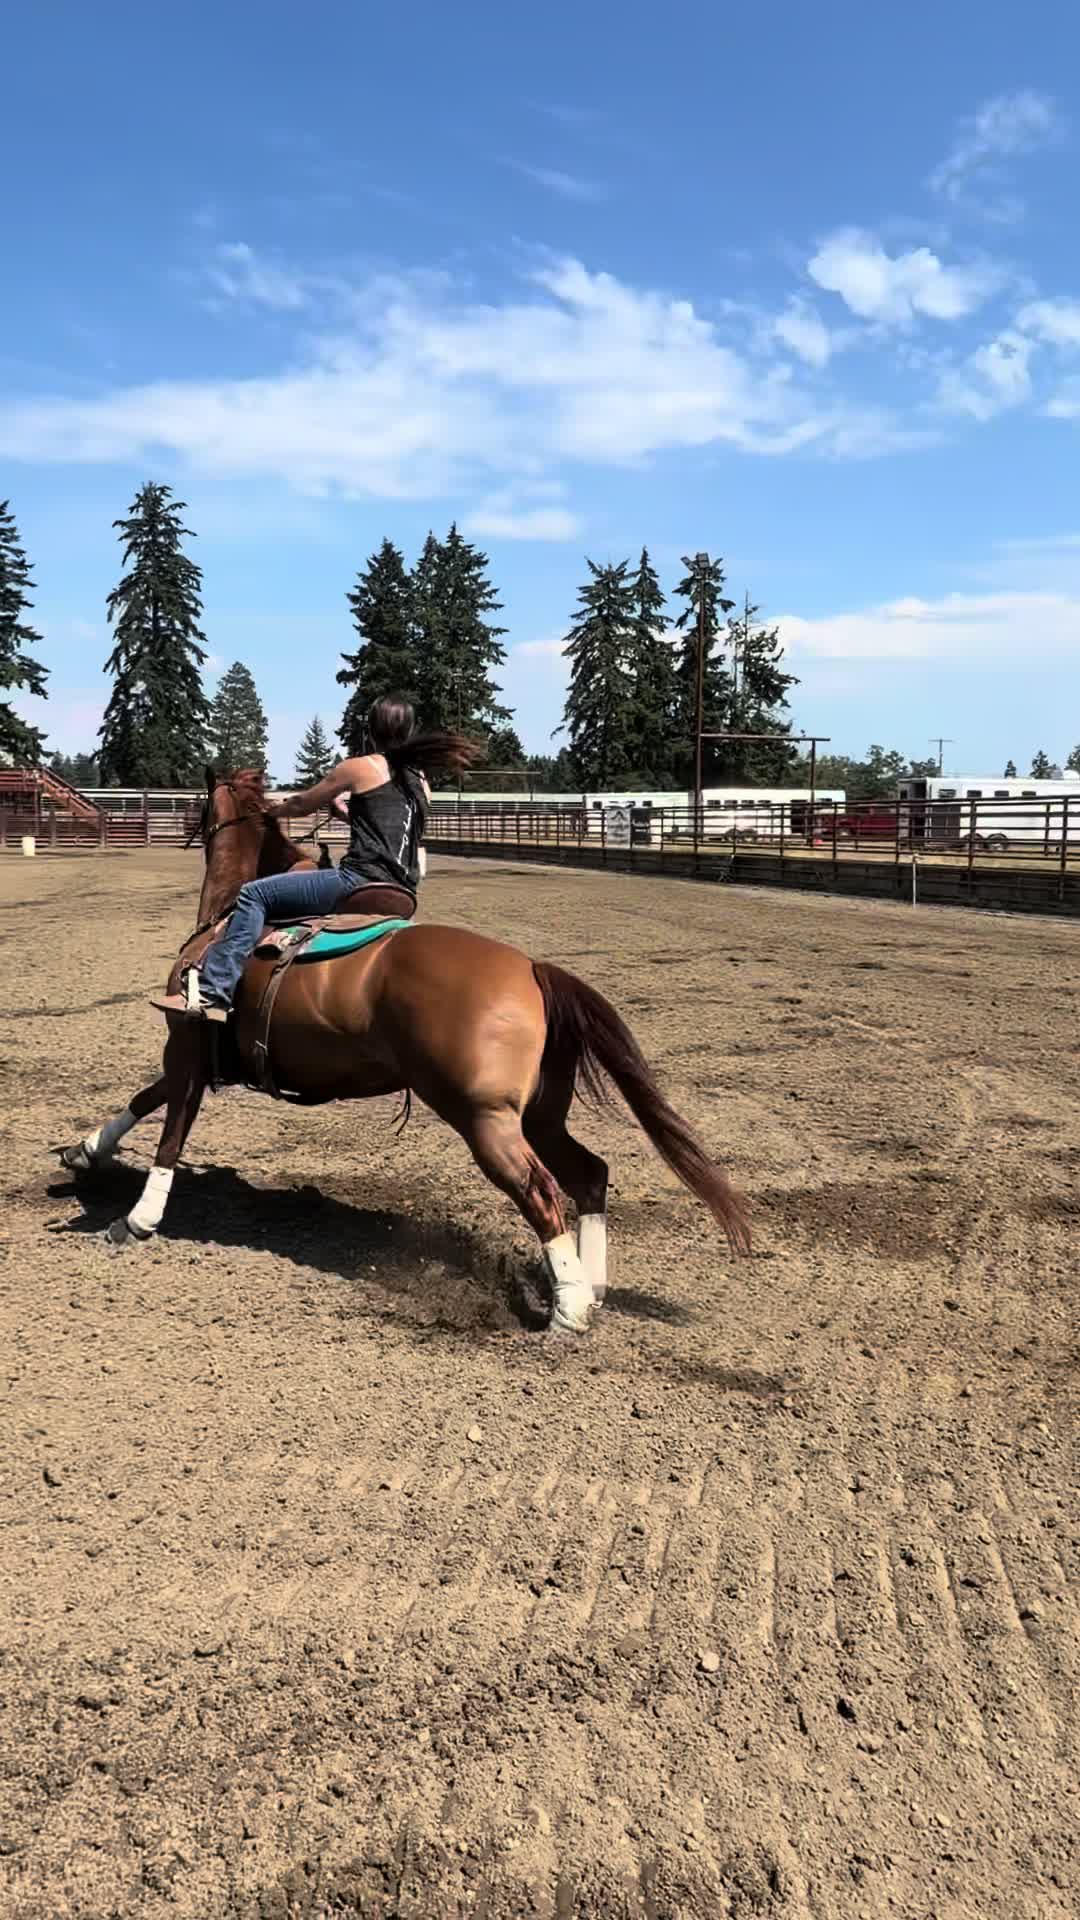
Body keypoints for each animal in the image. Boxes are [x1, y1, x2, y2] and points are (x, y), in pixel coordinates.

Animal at [59, 769, 750, 1331]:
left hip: (484, 1118)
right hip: (538, 1114)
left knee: (541, 1192)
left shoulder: (186, 1045)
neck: (232, 911)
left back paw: (569, 1309)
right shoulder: (200, 1059)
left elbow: (169, 1129)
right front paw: (85, 1150)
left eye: (200, 804)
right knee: (590, 1175)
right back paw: (591, 1284)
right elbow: (144, 1099)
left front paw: (138, 1218)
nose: (176, 825)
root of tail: (531, 969)